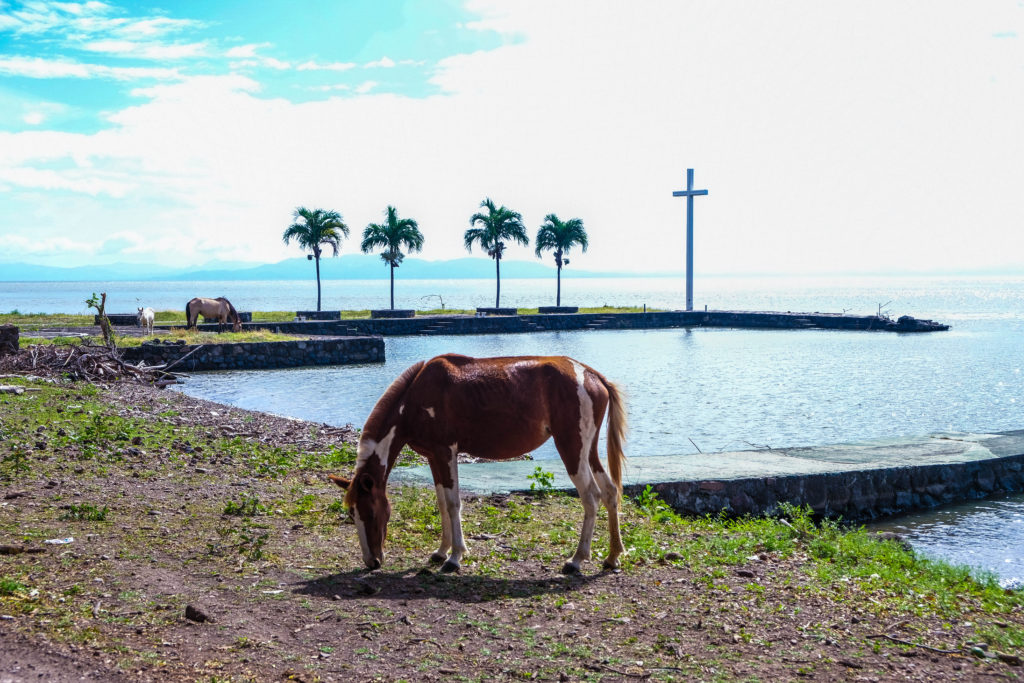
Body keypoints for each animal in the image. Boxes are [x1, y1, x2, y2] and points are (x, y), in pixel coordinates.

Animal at [327, 356, 622, 573]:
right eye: (352, 514)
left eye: (371, 513)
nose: (372, 562)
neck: (415, 398)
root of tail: (590, 374)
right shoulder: (433, 457)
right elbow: (442, 503)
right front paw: (441, 551)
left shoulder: (446, 452)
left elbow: (453, 503)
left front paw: (455, 557)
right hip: (587, 451)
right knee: (609, 492)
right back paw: (612, 556)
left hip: (572, 449)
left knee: (591, 497)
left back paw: (577, 559)